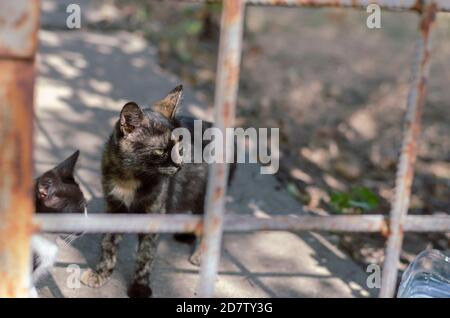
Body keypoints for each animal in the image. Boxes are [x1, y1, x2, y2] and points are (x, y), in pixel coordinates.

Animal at [81, 85, 236, 298]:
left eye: (180, 149)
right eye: (161, 151)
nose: (180, 166)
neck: (130, 178)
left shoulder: (154, 214)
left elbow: (145, 255)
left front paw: (140, 287)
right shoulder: (114, 207)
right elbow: (108, 244)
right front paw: (101, 274)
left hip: (207, 195)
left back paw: (200, 255)